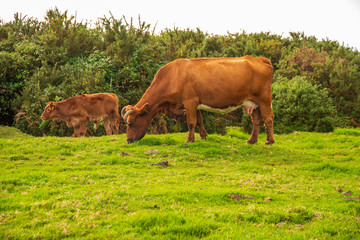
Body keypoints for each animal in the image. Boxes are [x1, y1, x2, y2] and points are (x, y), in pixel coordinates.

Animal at [122, 56, 274, 144]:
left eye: (131, 123)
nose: (128, 140)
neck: (173, 76)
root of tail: (259, 59)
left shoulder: (189, 101)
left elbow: (191, 122)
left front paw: (190, 140)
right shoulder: (195, 103)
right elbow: (199, 120)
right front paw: (203, 136)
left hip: (264, 99)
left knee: (268, 118)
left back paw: (269, 141)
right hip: (252, 102)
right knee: (256, 120)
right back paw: (251, 140)